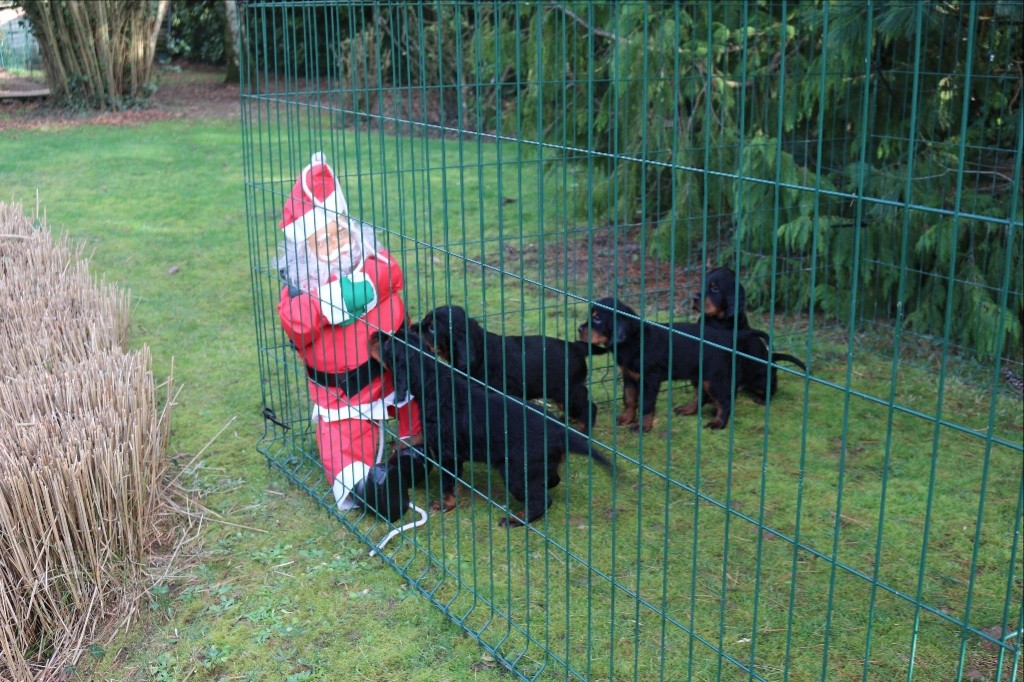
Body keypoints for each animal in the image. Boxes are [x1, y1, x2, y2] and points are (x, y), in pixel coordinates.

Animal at [368, 327, 610, 528]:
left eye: (387, 344)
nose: (374, 334)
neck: (434, 382)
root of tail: (560, 432)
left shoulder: (447, 451)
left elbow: (447, 482)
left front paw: (444, 504)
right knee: (550, 481)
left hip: (516, 470)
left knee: (541, 500)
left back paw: (516, 520)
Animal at [415, 305, 602, 432]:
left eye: (432, 328)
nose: (411, 328)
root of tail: (577, 347)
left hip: (568, 391)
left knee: (589, 406)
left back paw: (584, 429)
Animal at [577, 296, 770, 430]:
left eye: (597, 319)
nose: (579, 329)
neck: (635, 339)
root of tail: (727, 337)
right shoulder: (630, 377)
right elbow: (629, 399)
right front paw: (626, 418)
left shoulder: (649, 380)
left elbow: (646, 405)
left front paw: (643, 427)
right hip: (699, 375)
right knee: (701, 395)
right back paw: (688, 410)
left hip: (714, 378)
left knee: (725, 400)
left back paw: (718, 424)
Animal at [688, 266, 806, 403]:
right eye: (702, 284)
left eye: (715, 288)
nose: (694, 297)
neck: (717, 321)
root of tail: (771, 357)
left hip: (761, 380)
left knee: (771, 388)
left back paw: (762, 398)